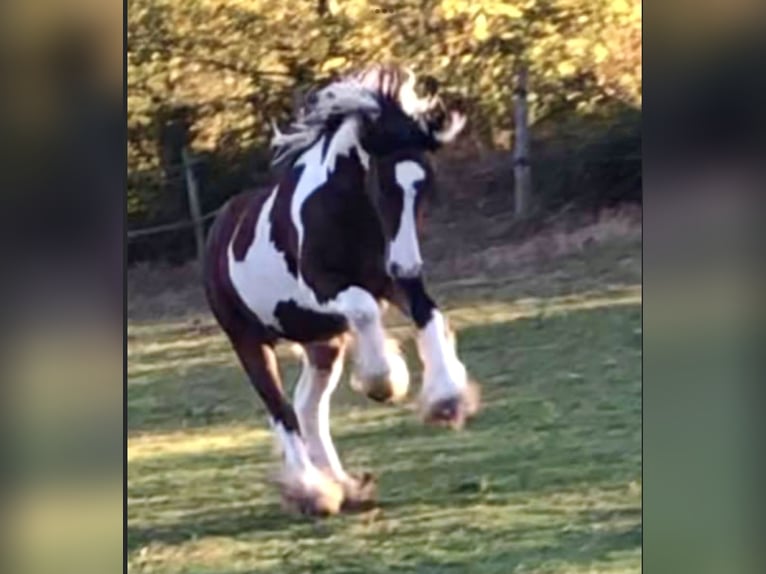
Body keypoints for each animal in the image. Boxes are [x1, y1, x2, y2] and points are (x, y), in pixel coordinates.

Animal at [204, 64, 480, 516]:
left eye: (425, 186)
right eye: (384, 185)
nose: (408, 265)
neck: (341, 209)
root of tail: (218, 228)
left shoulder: (389, 281)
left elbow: (428, 312)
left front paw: (446, 400)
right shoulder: (325, 287)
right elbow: (366, 310)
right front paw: (384, 381)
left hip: (323, 344)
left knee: (308, 408)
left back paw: (344, 485)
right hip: (248, 340)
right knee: (282, 410)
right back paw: (313, 491)